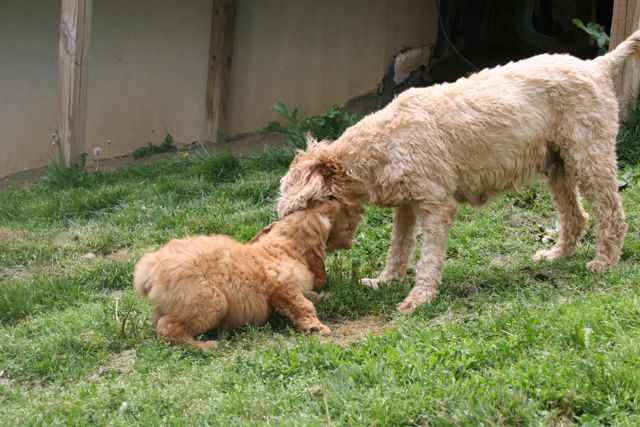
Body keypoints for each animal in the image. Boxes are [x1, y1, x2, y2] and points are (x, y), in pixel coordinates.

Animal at [132, 199, 350, 350]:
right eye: (323, 214)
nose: (332, 199)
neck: (284, 246)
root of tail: (149, 267)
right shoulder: (283, 287)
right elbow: (303, 305)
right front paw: (316, 327)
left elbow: (311, 296)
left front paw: (328, 296)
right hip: (209, 302)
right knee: (167, 327)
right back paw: (203, 346)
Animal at [276, 30, 640, 314]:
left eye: (302, 206)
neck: (385, 142)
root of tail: (598, 65)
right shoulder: (406, 206)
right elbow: (399, 248)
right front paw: (386, 281)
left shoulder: (437, 205)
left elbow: (427, 257)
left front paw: (419, 298)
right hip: (558, 167)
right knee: (576, 216)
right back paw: (555, 255)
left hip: (589, 159)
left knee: (612, 216)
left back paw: (604, 262)